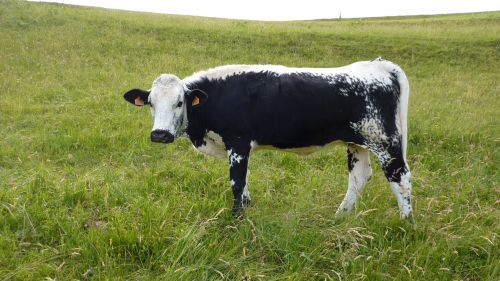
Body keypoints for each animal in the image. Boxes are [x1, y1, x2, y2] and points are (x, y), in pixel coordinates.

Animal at [123, 58, 416, 224]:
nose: (160, 134)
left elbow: (237, 182)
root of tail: (378, 65)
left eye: (179, 102)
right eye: (150, 103)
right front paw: (246, 209)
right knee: (359, 177)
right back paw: (340, 217)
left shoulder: (238, 142)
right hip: (358, 142)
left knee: (399, 177)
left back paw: (406, 223)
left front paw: (236, 221)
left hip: (384, 141)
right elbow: (244, 183)